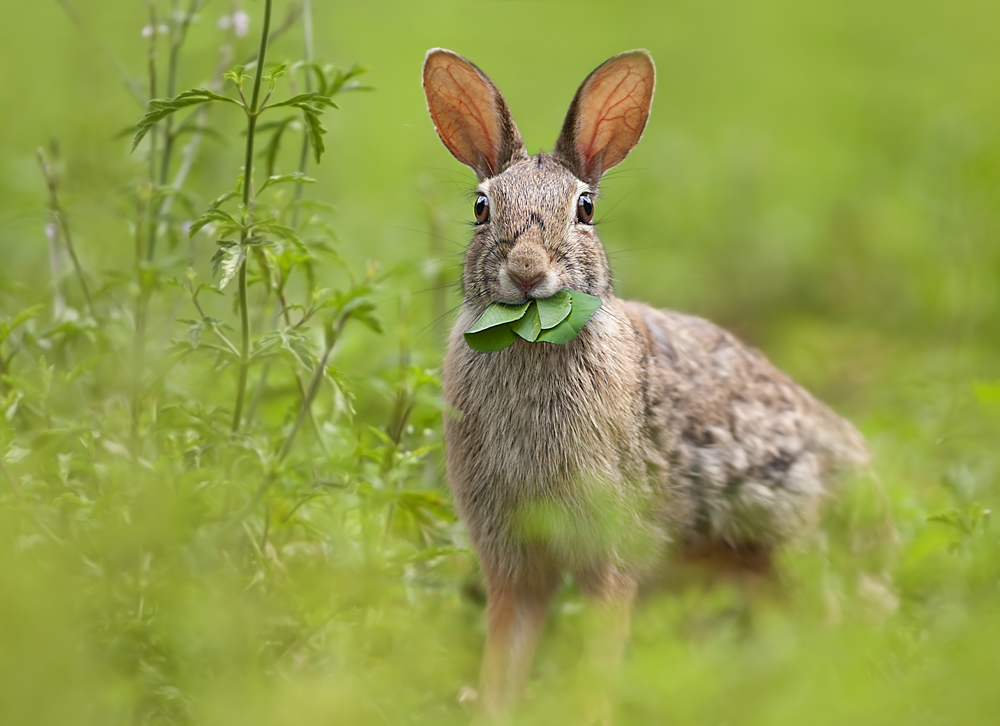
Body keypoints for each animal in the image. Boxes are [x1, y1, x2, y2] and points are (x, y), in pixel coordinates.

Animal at [420, 48, 868, 720]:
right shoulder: (513, 552)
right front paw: (491, 708)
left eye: (585, 208)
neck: (530, 339)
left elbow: (601, 643)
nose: (526, 270)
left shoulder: (612, 544)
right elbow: (507, 643)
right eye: (480, 208)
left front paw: (590, 711)